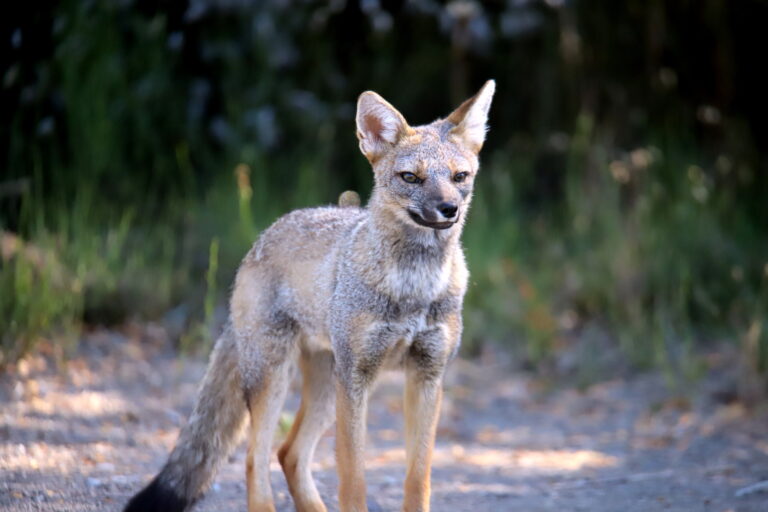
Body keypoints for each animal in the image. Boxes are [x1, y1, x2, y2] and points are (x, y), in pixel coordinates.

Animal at [124, 79, 495, 512]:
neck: (413, 287)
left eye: (459, 176)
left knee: (289, 453)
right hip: (277, 380)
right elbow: (353, 481)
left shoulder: (427, 378)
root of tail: (267, 233)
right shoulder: (357, 379)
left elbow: (417, 481)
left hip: (324, 388)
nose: (449, 208)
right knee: (255, 458)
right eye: (411, 177)